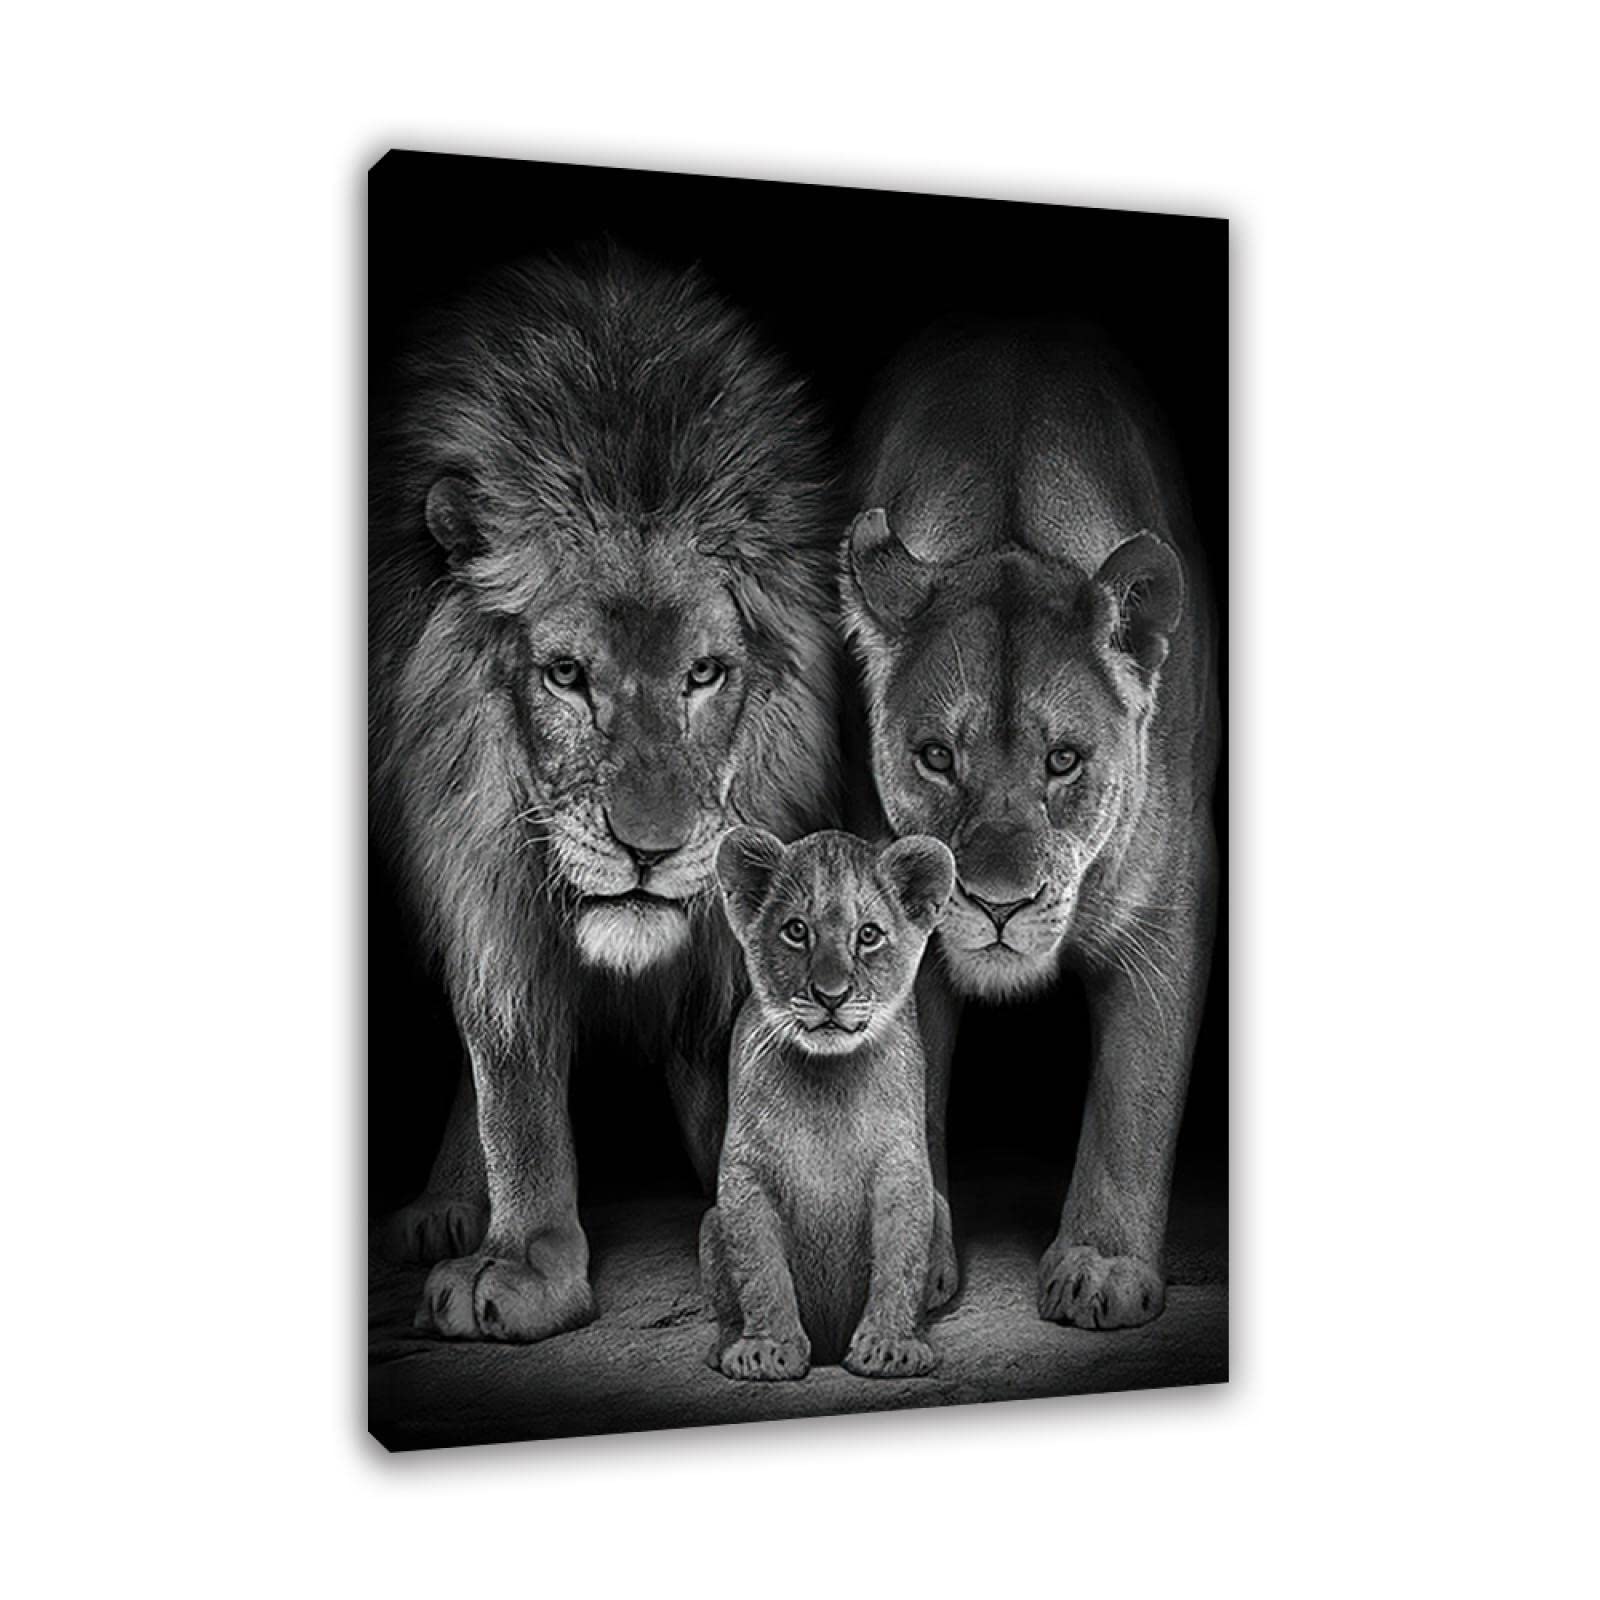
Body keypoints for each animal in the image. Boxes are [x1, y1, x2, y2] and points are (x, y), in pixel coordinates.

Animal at [371, 250, 840, 1342]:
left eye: (705, 674)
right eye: (567, 675)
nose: (650, 850)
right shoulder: (479, 866)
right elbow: (509, 1073)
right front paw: (521, 1263)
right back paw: (446, 1207)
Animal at [701, 827, 955, 1379]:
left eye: (868, 935)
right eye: (797, 931)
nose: (831, 995)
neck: (828, 1077)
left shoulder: (903, 1168)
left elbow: (901, 1261)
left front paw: (889, 1346)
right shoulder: (744, 1173)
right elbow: (760, 1270)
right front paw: (767, 1349)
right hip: (709, 1223)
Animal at [841, 325, 1219, 1330]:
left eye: (1064, 761)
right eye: (937, 757)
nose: (998, 905)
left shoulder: (1171, 903)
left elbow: (1135, 1096)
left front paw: (1102, 1266)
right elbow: (905, 1085)